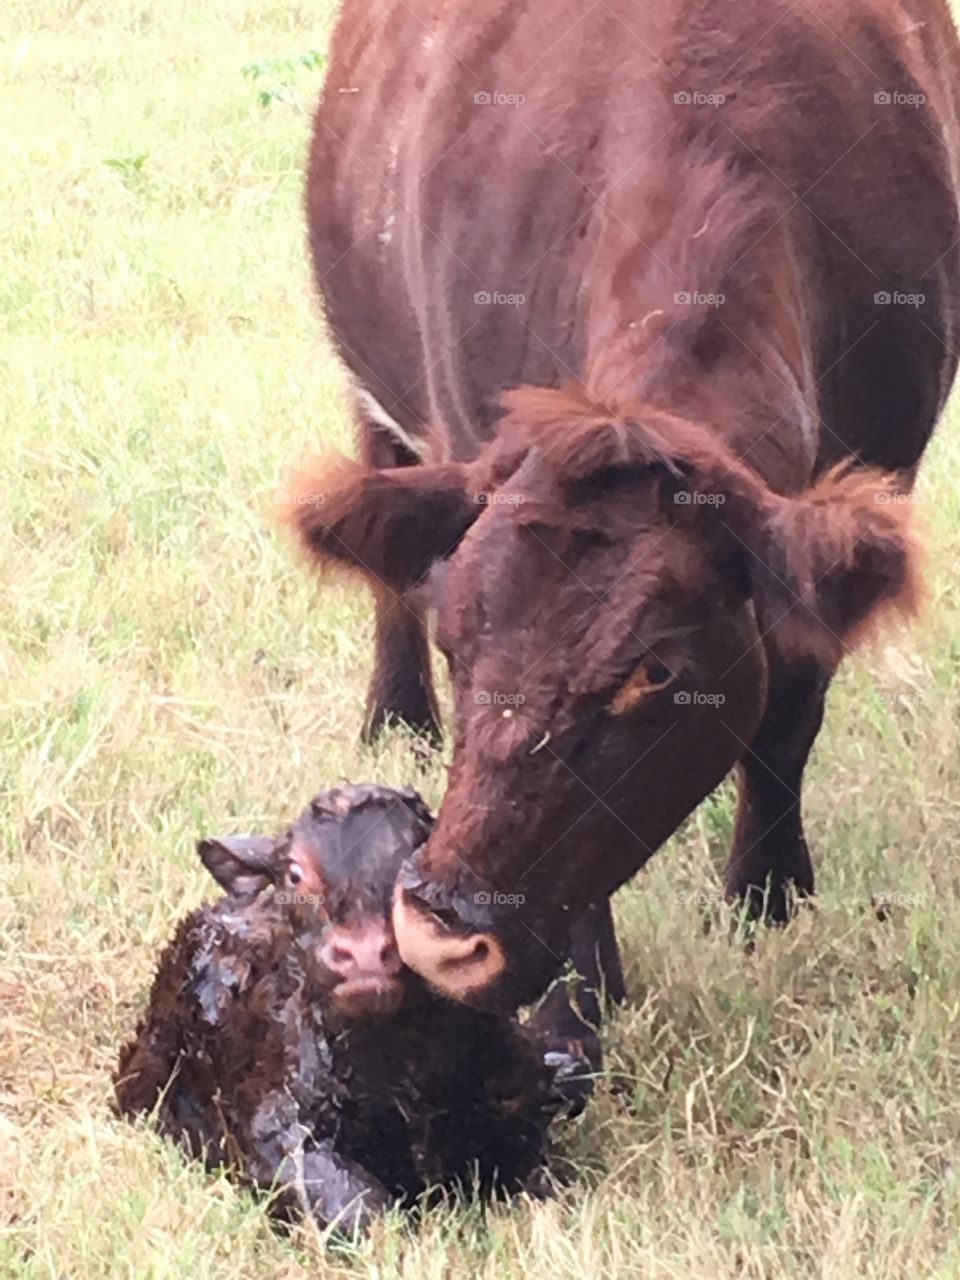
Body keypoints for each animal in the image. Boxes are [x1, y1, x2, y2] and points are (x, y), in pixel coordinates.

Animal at [291, 2, 960, 1049]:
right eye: (457, 640)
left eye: (654, 672)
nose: (442, 932)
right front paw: (581, 1003)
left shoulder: (864, 491)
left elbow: (788, 716)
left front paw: (767, 896)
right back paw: (395, 715)